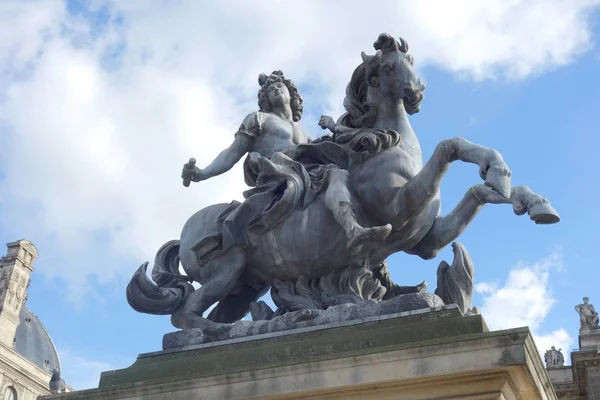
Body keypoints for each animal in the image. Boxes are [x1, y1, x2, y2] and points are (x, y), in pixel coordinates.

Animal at [127, 32, 564, 330]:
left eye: (411, 59)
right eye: (388, 67)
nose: (417, 91)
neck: (388, 143)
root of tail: (185, 230)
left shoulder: (425, 240)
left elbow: (480, 189)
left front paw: (526, 196)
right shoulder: (398, 208)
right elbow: (449, 146)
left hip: (243, 284)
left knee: (209, 310)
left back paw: (262, 320)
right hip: (227, 269)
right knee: (184, 317)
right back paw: (233, 329)